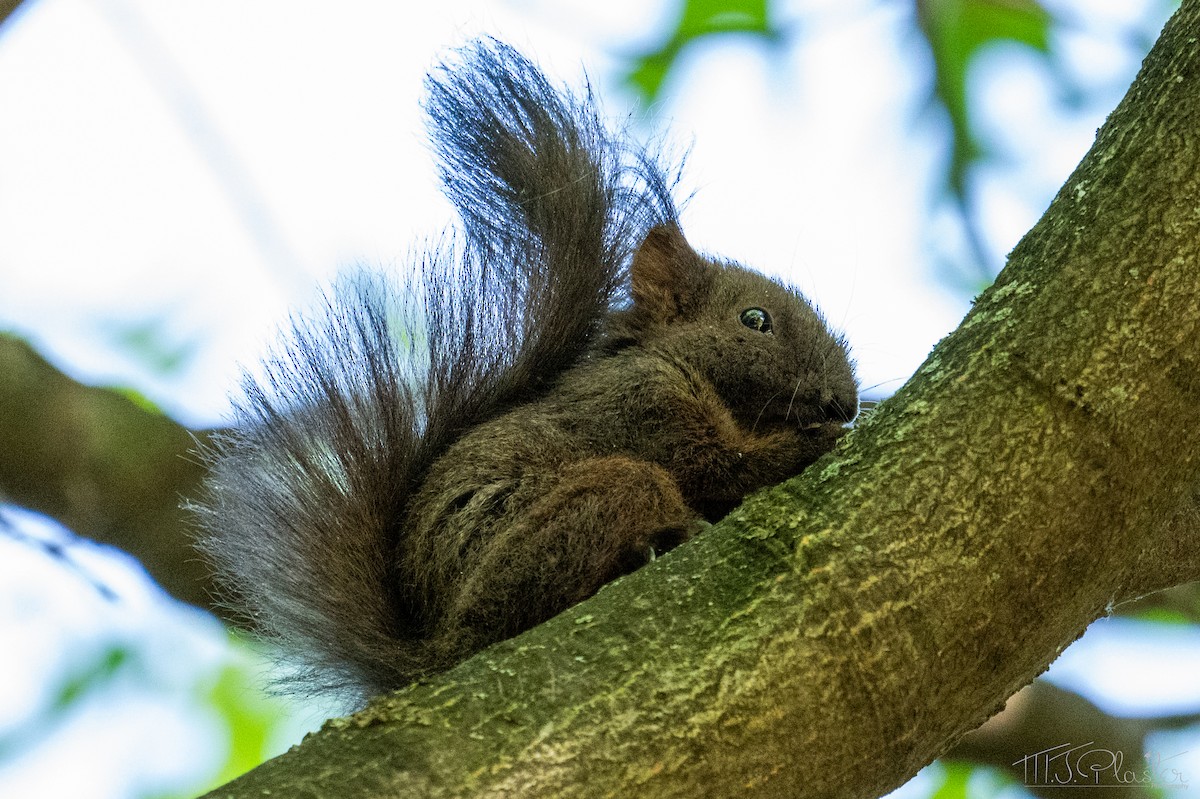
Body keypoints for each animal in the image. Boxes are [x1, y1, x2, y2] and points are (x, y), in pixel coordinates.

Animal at [193, 38, 858, 705]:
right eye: (755, 320)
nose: (844, 403)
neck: (675, 362)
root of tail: (438, 649)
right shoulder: (641, 404)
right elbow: (720, 465)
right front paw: (812, 442)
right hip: (579, 510)